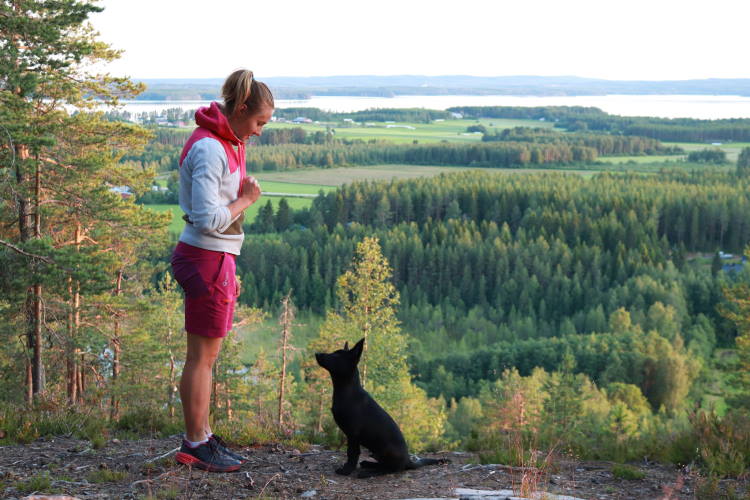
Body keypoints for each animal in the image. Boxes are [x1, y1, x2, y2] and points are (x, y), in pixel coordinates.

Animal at [316, 338, 450, 478]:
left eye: (336, 356)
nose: (317, 354)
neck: (347, 391)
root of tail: (408, 461)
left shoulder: (353, 435)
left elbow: (352, 454)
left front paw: (346, 470)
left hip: (386, 450)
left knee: (390, 469)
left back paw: (368, 473)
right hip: (375, 452)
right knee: (383, 464)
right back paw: (368, 464)